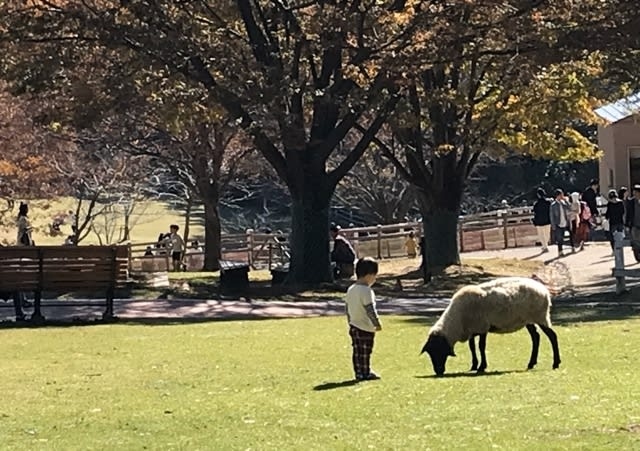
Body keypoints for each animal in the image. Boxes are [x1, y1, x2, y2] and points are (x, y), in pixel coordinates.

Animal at [422, 278, 564, 376]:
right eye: (430, 353)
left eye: (438, 350)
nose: (438, 371)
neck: (457, 321)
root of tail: (544, 291)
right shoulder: (472, 328)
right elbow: (472, 347)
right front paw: (474, 365)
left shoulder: (482, 326)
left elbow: (481, 346)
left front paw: (481, 367)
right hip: (528, 320)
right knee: (536, 337)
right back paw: (531, 363)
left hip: (540, 316)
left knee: (552, 336)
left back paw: (555, 363)